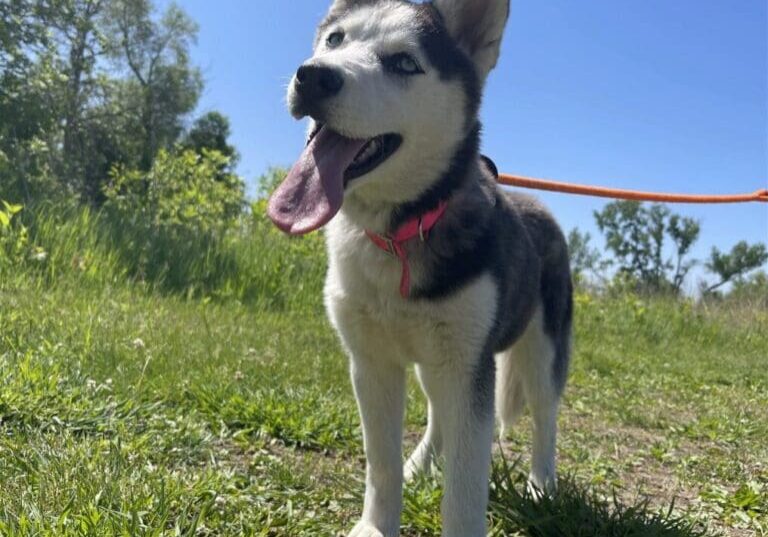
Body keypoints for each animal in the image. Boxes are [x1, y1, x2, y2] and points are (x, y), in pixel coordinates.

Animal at [268, 1, 572, 532]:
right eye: (335, 39)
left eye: (405, 63)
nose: (314, 76)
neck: (399, 233)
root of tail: (539, 205)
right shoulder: (371, 363)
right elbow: (382, 463)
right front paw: (376, 524)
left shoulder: (469, 368)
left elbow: (465, 490)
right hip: (438, 364)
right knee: (437, 415)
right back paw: (421, 464)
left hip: (538, 351)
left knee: (544, 416)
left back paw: (541, 484)